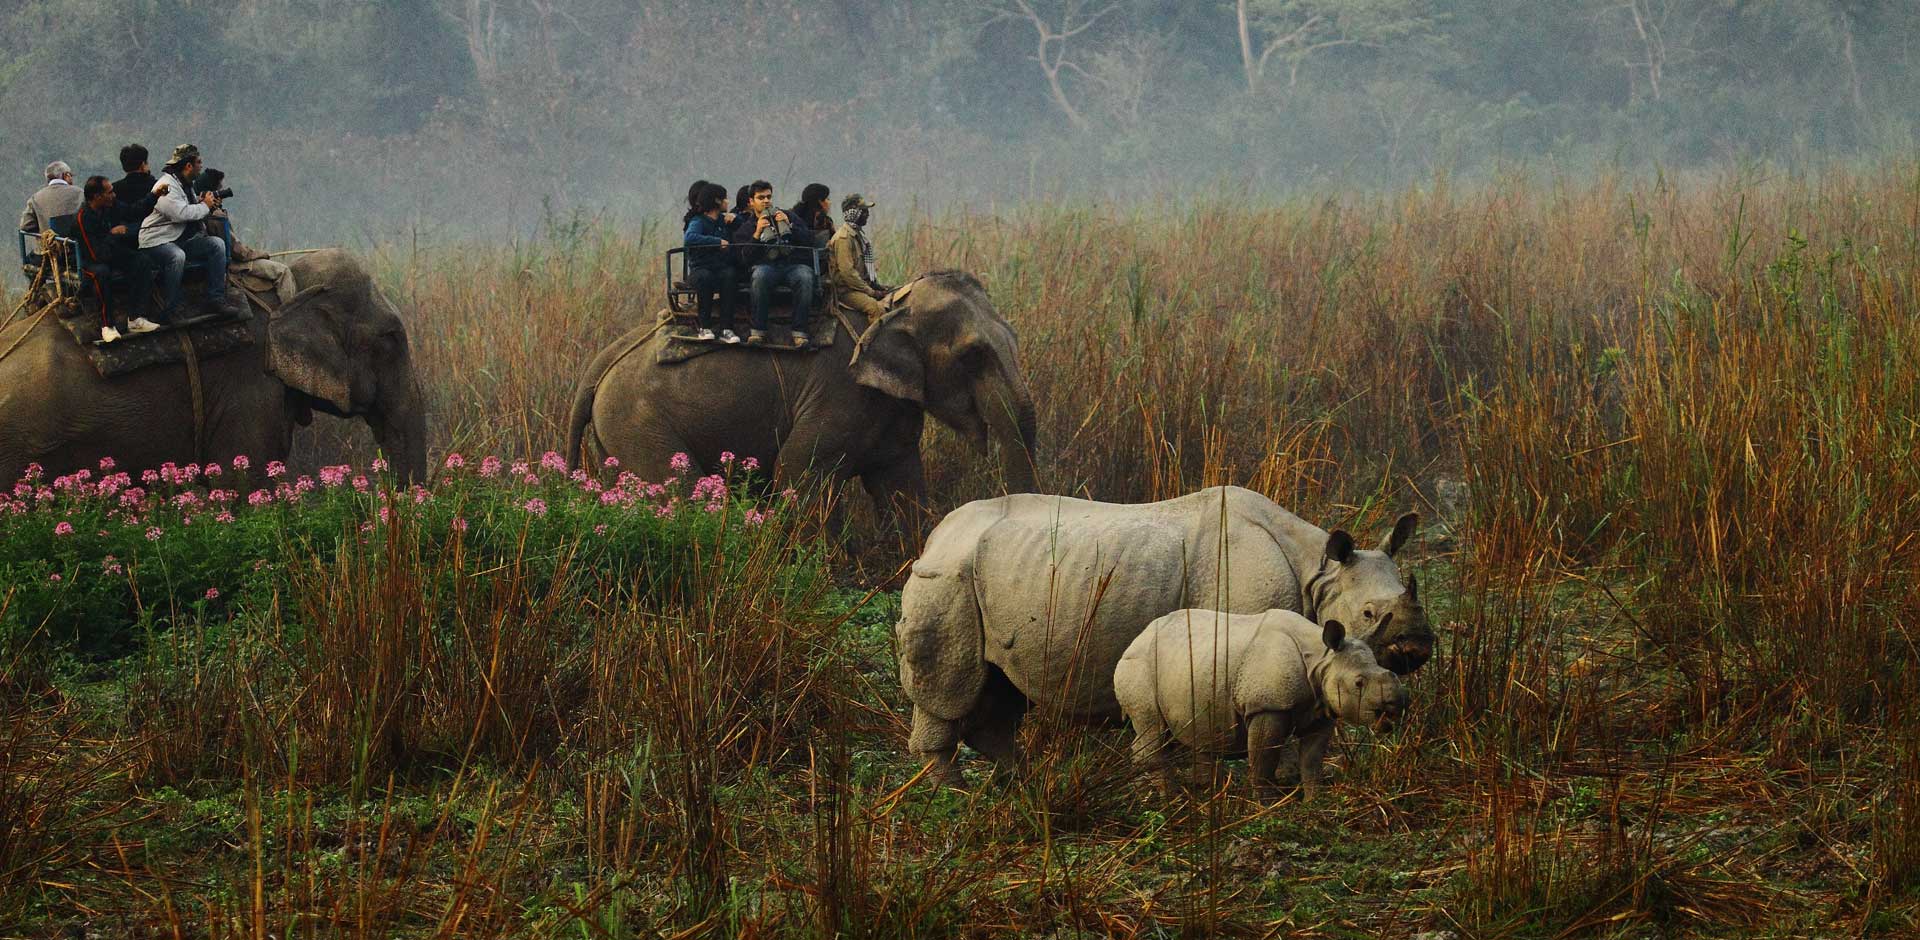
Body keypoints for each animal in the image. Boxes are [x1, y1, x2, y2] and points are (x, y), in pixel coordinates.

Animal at [564, 272, 1044, 537]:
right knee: (678, 490)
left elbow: (901, 485)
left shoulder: (890, 410)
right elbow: (797, 470)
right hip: (638, 422)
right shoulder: (841, 392)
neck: (888, 305)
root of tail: (604, 359)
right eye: (973, 356)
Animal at [1113, 610, 1413, 801]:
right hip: (1138, 664)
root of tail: (1137, 637)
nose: (1396, 704)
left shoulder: (1322, 710)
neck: (1322, 658)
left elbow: (1312, 761)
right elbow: (1263, 759)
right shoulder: (1267, 706)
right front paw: (1266, 806)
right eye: (1359, 683)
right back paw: (1169, 799)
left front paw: (1314, 801)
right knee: (1152, 729)